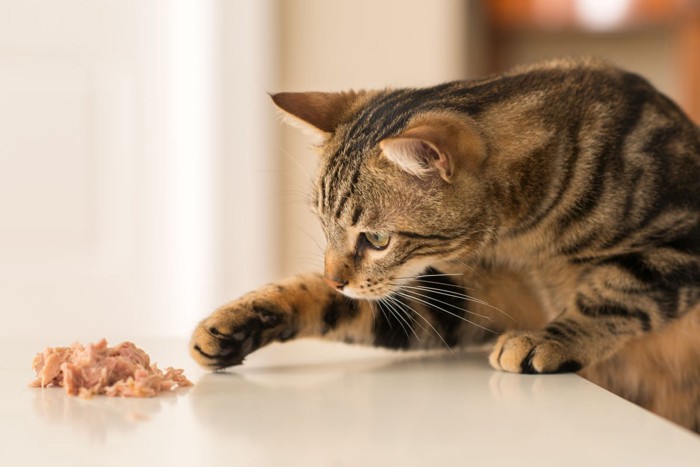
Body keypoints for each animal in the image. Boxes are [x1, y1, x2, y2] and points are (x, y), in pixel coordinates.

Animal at [190, 58, 700, 436]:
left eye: (377, 239)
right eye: (323, 223)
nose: (336, 278)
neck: (524, 243)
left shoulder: (681, 244)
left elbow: (616, 294)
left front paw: (548, 339)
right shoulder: (470, 297)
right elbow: (336, 307)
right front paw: (234, 323)